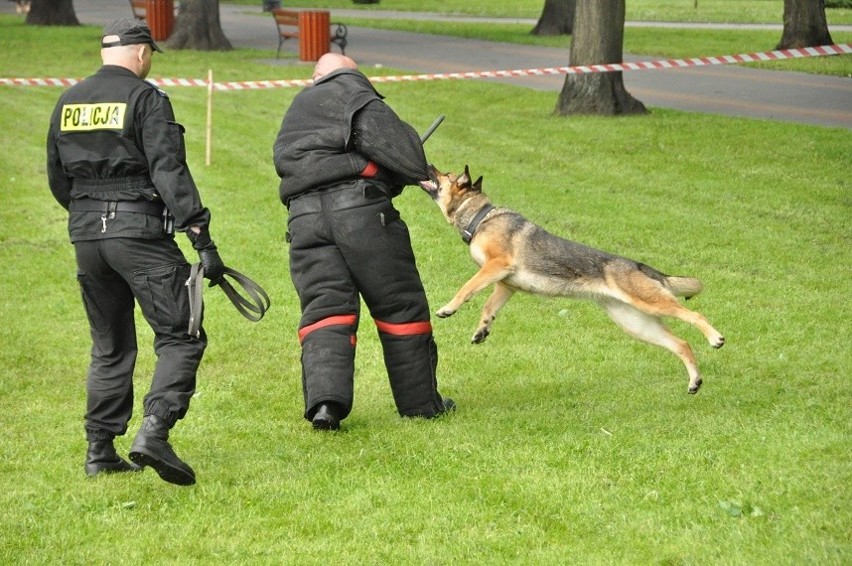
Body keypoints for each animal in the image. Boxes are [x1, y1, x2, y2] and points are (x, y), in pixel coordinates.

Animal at [420, 165, 724, 394]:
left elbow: (466, 288)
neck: (480, 218)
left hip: (650, 304)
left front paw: (448, 308)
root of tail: (641, 266)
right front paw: (482, 330)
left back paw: (715, 339)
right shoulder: (506, 284)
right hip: (636, 323)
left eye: (445, 173)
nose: (428, 164)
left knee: (695, 315)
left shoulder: (497, 266)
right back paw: (695, 381)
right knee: (681, 344)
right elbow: (488, 308)